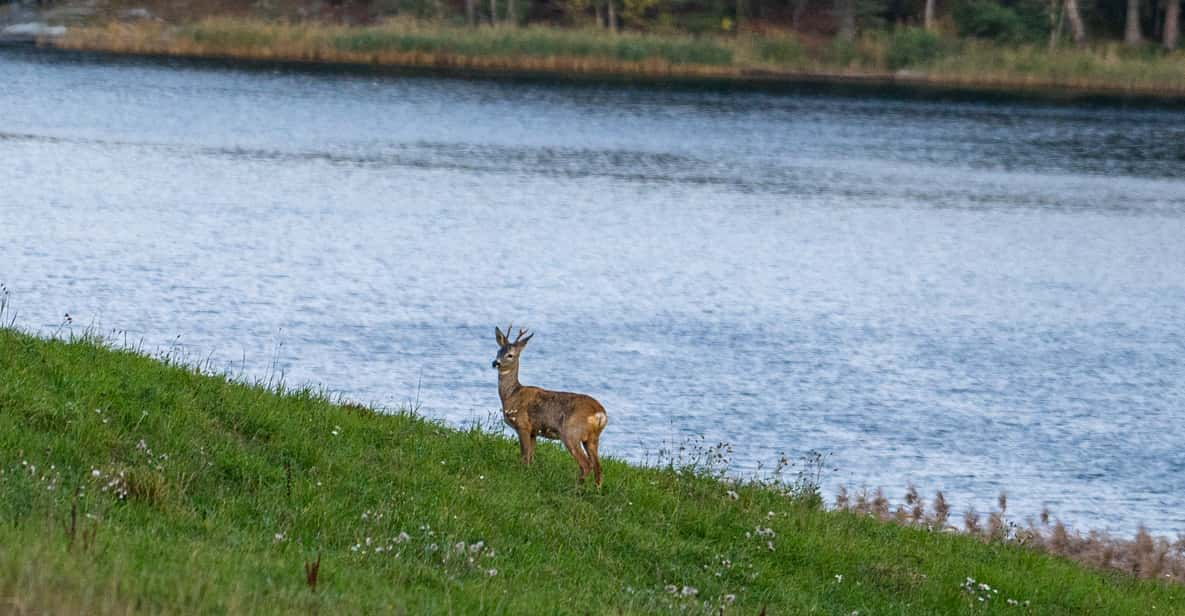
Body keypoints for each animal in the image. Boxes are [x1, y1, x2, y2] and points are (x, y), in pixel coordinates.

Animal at [488, 324, 606, 488]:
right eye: (498, 351)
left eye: (510, 355)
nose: (495, 363)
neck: (511, 395)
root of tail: (600, 414)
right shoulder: (533, 431)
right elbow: (531, 457)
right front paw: (530, 474)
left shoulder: (523, 425)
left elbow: (524, 456)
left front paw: (522, 476)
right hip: (592, 438)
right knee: (598, 466)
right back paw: (596, 490)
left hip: (571, 433)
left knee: (586, 464)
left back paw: (574, 489)